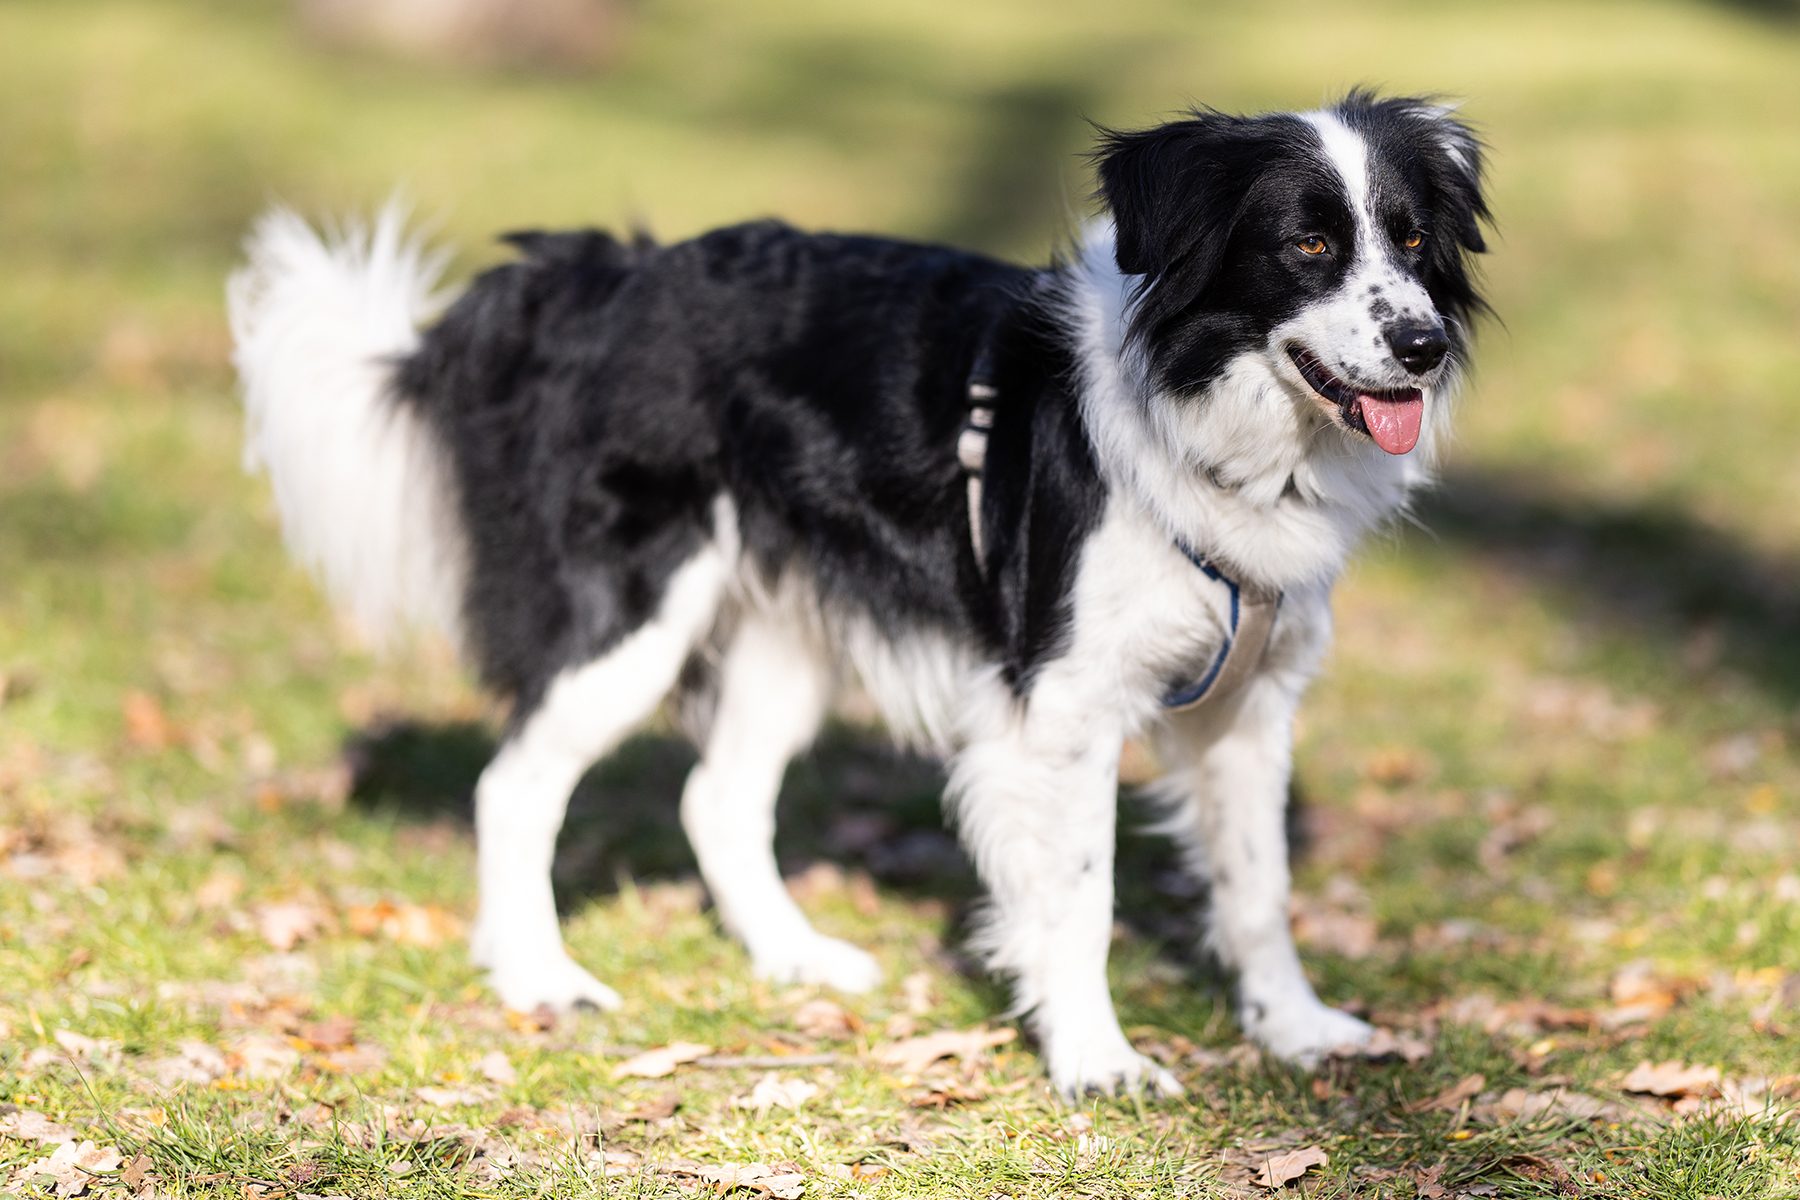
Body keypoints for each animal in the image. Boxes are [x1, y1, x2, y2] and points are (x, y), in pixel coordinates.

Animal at [225, 89, 1490, 1093]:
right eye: (1308, 244)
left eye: (1413, 239)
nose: (1423, 345)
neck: (1201, 412)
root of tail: (593, 274)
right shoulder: (1061, 708)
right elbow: (1078, 898)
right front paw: (1098, 1060)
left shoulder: (1251, 700)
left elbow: (1258, 885)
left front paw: (1296, 1031)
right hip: (633, 618)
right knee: (517, 786)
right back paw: (542, 976)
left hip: (787, 634)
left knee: (716, 799)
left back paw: (794, 957)